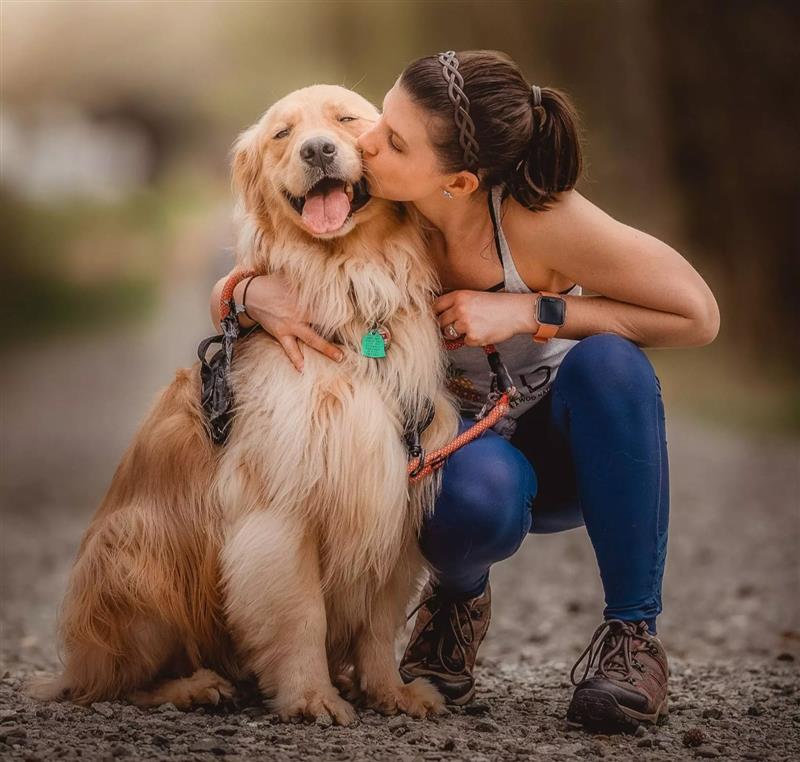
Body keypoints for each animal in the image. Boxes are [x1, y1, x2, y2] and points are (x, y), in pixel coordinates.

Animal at [28, 83, 460, 724]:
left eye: (346, 119)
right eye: (282, 134)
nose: (316, 150)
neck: (349, 292)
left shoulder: (394, 494)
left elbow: (379, 624)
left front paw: (390, 691)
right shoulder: (280, 507)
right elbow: (302, 616)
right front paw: (311, 696)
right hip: (140, 558)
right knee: (114, 683)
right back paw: (194, 686)